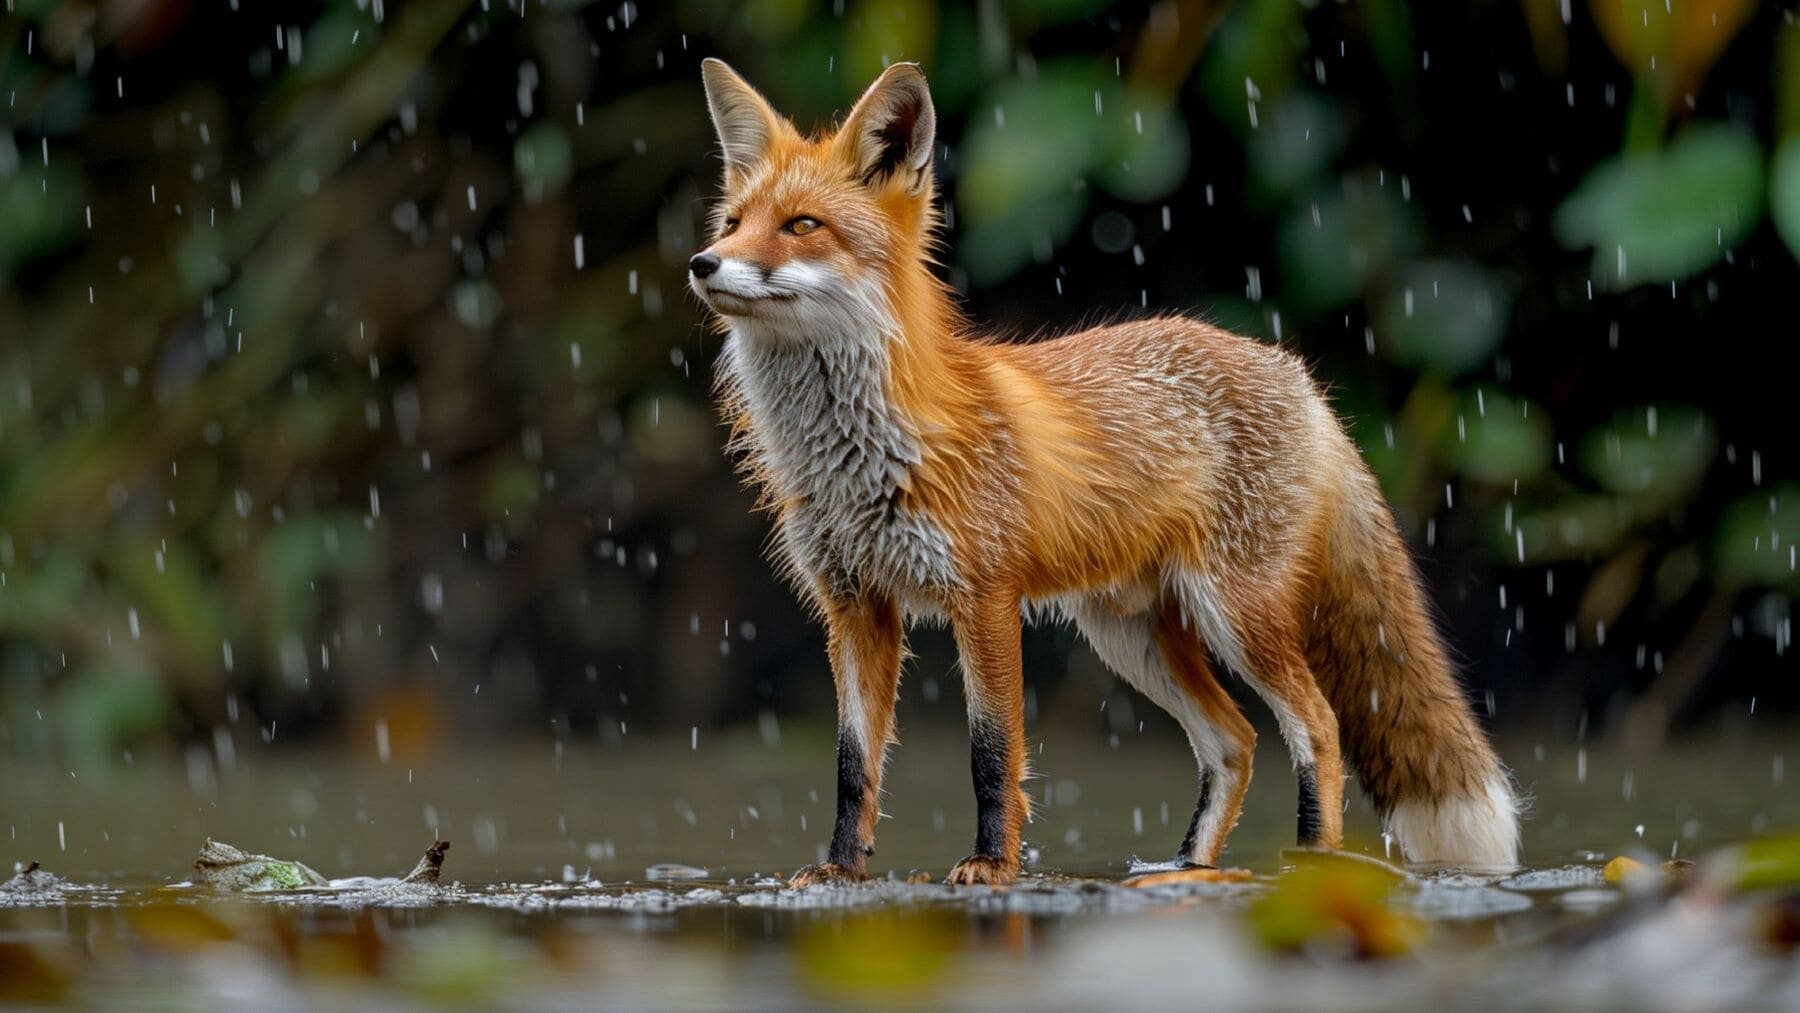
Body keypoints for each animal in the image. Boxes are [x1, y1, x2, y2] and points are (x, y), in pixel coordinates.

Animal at [687, 58, 1520, 887]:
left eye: (801, 226)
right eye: (732, 225)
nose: (702, 263)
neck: (861, 457)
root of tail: (1299, 375)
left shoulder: (985, 596)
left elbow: (993, 754)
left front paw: (992, 863)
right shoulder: (854, 606)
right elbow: (852, 765)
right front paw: (838, 871)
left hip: (1234, 613)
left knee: (1317, 724)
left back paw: (1313, 869)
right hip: (1130, 635)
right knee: (1235, 740)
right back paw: (1183, 869)